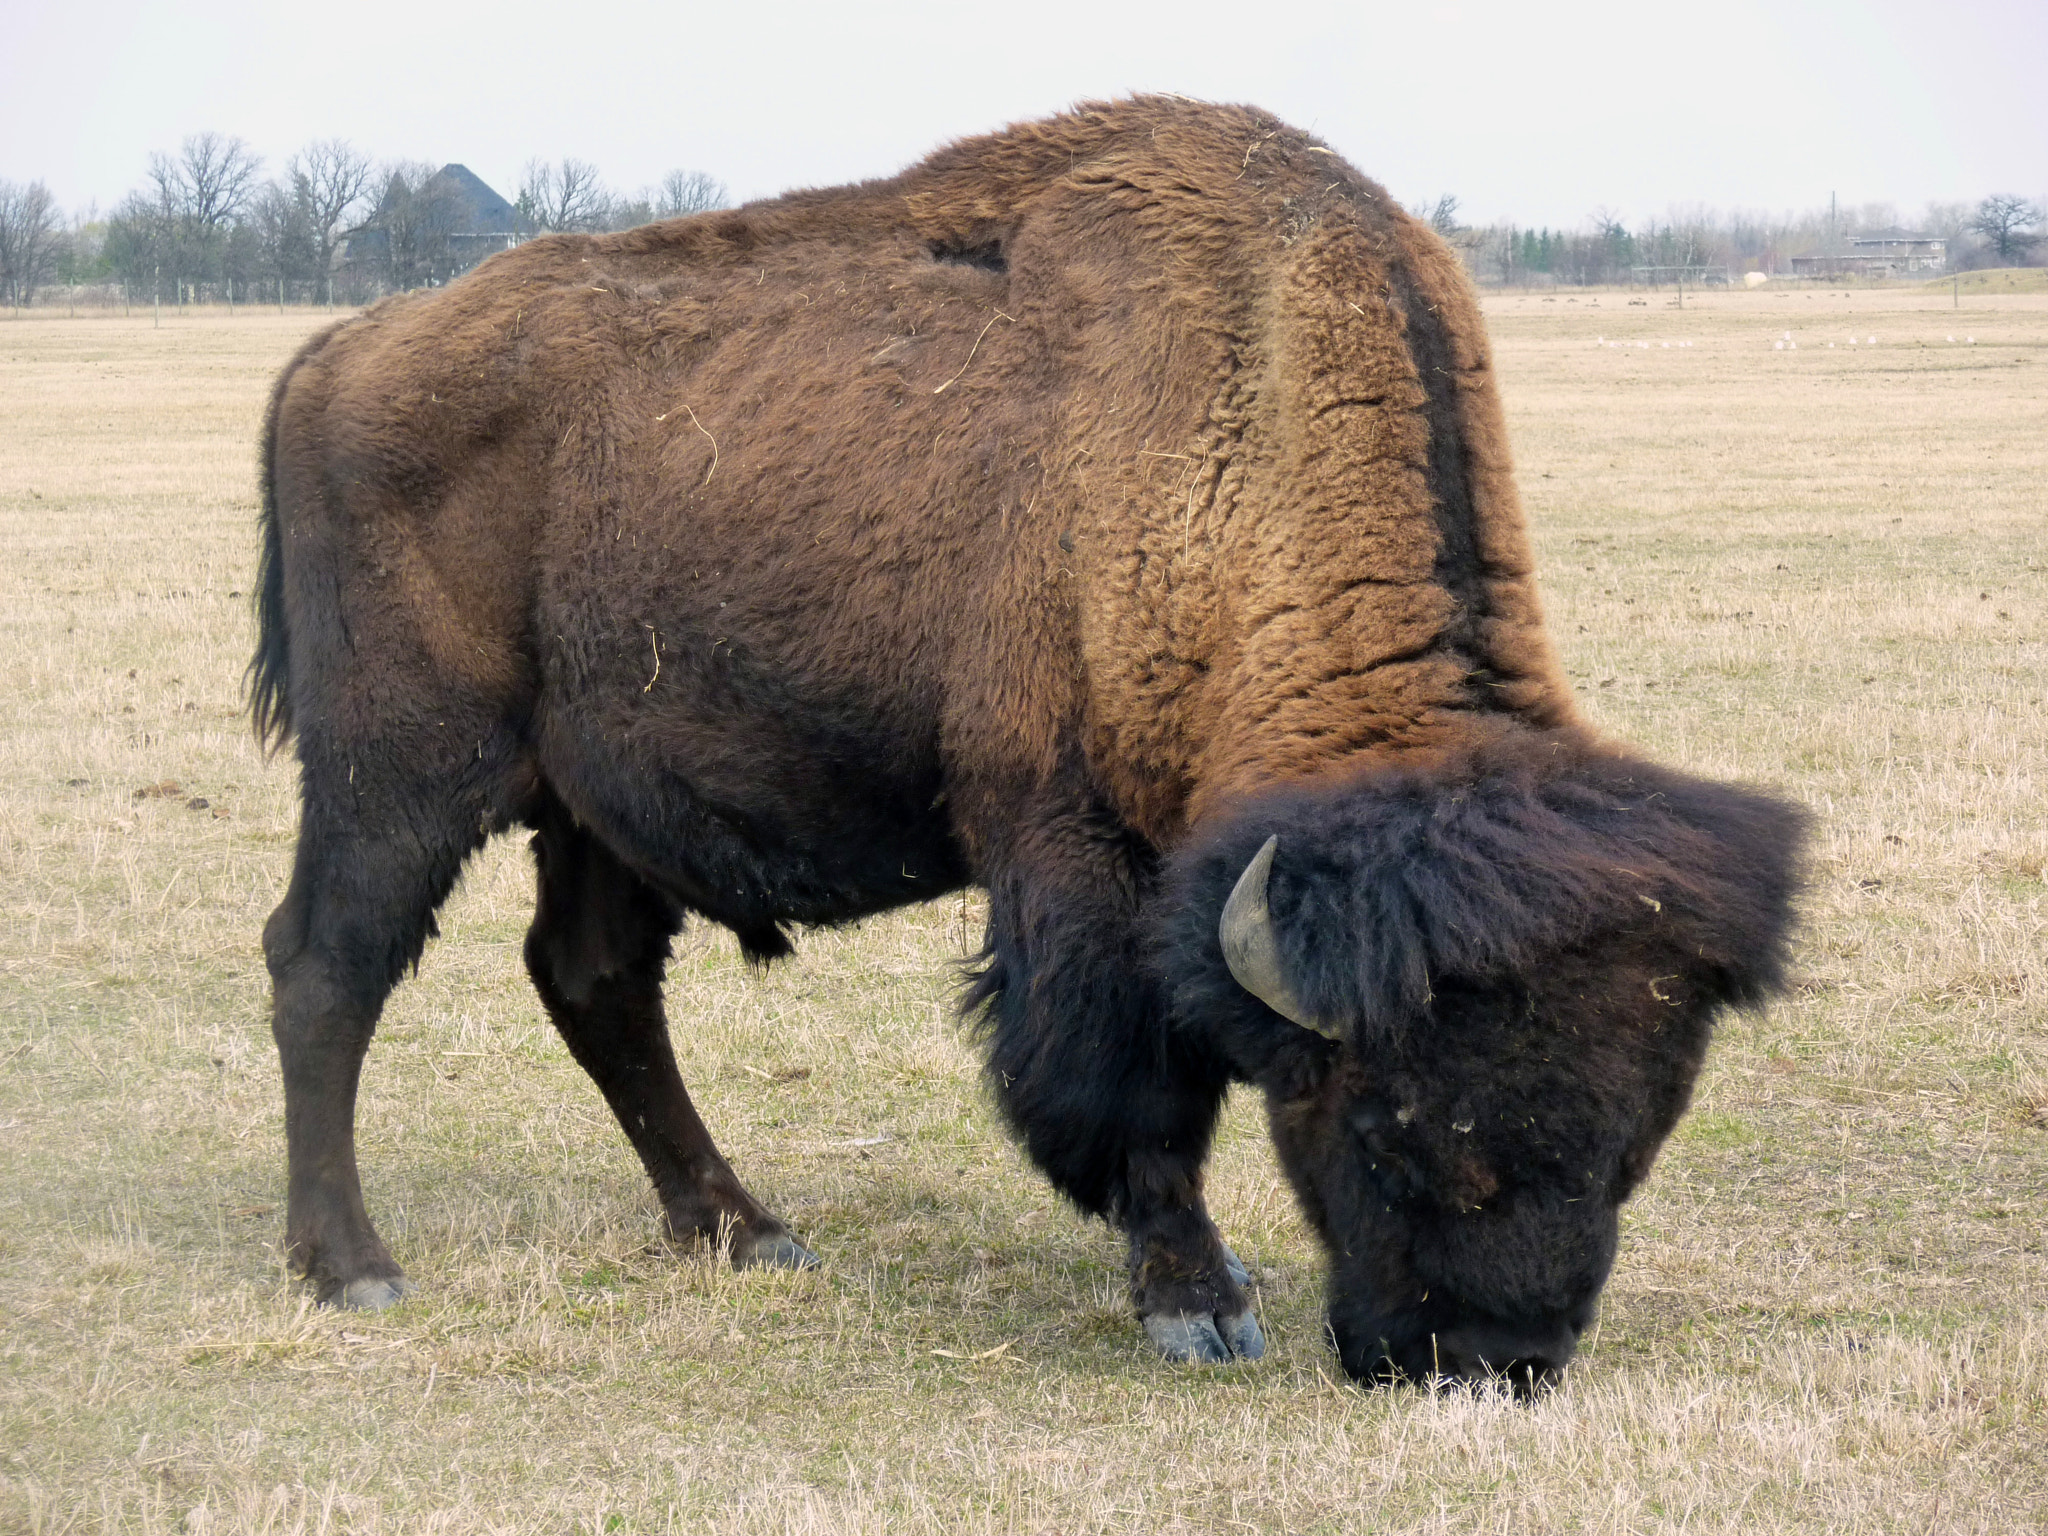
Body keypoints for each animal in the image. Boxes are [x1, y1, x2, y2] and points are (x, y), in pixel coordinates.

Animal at [247, 99, 1802, 1392]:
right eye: (1381, 1125)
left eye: (1636, 1138)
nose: (1486, 1360)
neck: (1244, 407)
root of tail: (338, 352)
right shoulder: (1073, 845)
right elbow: (1138, 1083)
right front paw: (1197, 1305)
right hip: (400, 771)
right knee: (328, 965)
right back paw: (355, 1269)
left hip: (592, 804)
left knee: (594, 983)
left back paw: (744, 1230)